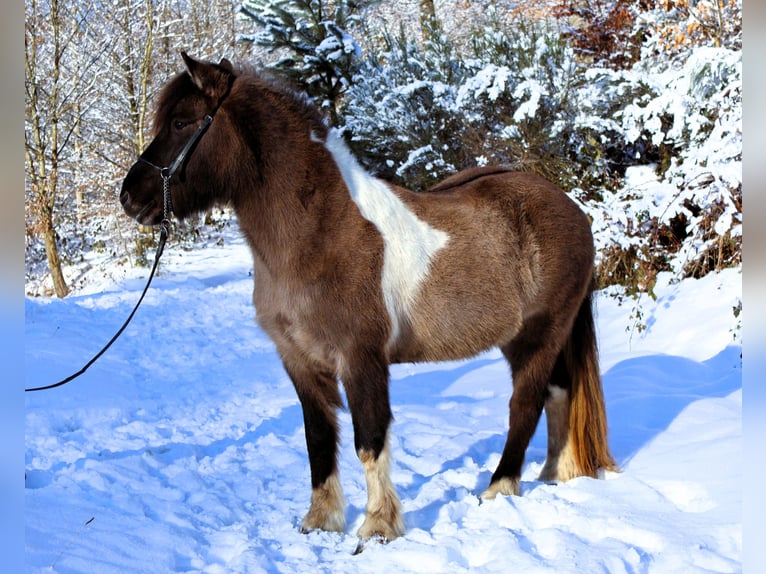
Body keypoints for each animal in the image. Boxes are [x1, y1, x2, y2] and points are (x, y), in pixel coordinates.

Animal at [120, 52, 617, 544]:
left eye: (181, 122)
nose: (129, 198)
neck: (321, 233)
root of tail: (574, 211)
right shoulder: (300, 361)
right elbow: (319, 440)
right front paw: (320, 521)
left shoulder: (361, 359)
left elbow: (369, 440)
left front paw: (378, 526)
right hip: (524, 341)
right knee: (559, 393)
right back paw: (554, 473)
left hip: (539, 335)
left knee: (526, 405)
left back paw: (499, 488)